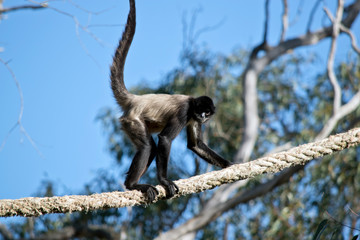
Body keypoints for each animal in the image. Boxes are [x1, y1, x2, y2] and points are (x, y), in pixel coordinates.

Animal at [111, 0, 232, 202]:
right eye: (200, 111)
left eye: (206, 113)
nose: (202, 116)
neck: (192, 104)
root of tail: (136, 99)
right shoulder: (184, 111)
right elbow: (165, 139)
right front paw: (164, 180)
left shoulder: (192, 118)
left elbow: (195, 145)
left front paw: (229, 164)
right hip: (132, 120)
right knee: (148, 147)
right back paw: (133, 185)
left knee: (151, 148)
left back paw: (131, 184)